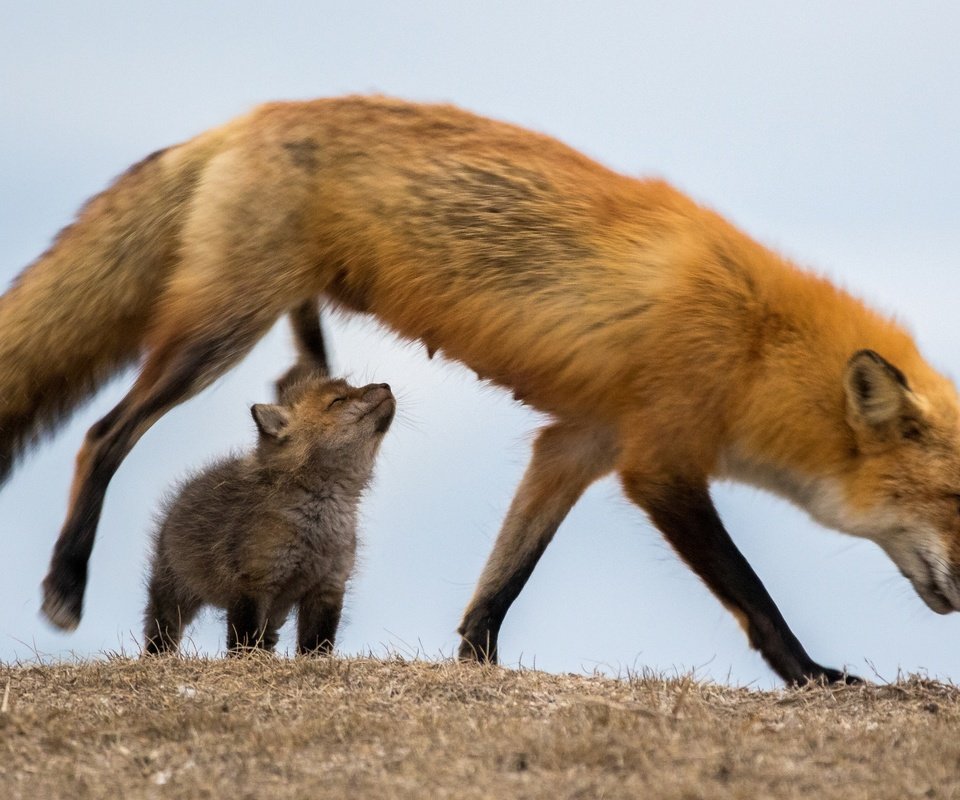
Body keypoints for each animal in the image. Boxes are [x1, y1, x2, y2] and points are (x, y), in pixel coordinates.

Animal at [3, 95, 956, 680]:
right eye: (953, 499)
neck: (758, 344)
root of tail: (249, 115)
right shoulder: (657, 464)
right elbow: (753, 595)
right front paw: (811, 676)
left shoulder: (577, 443)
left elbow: (501, 582)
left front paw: (476, 664)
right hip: (219, 329)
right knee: (102, 435)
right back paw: (64, 584)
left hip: (282, 314)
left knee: (281, 375)